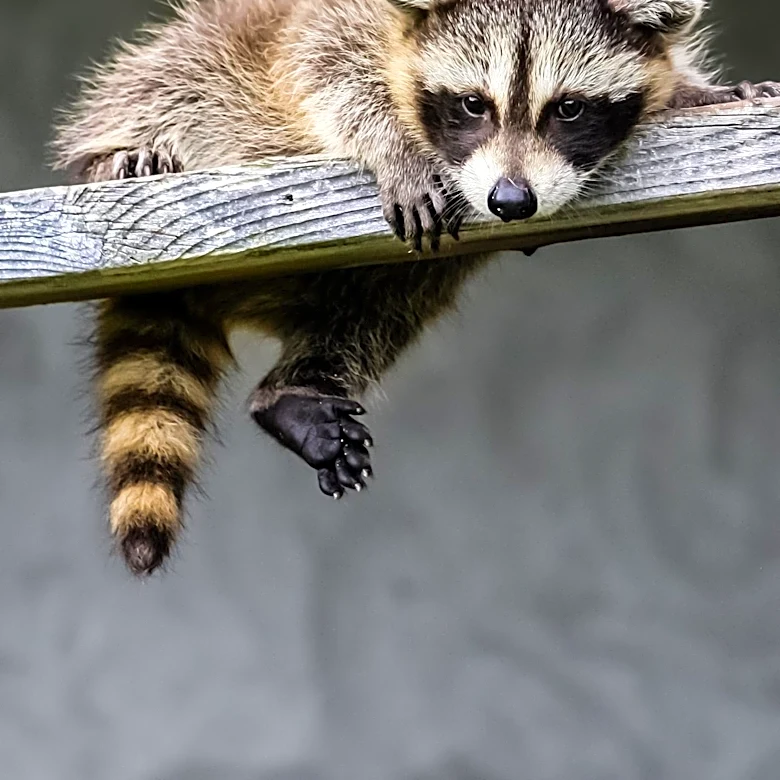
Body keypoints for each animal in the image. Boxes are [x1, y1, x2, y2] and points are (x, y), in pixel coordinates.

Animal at [53, 0, 779, 575]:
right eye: (472, 104)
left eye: (569, 109)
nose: (511, 200)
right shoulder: (335, 23)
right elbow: (325, 67)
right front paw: (395, 146)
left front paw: (701, 92)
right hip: (182, 69)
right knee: (164, 86)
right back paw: (120, 158)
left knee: (388, 301)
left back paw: (296, 390)